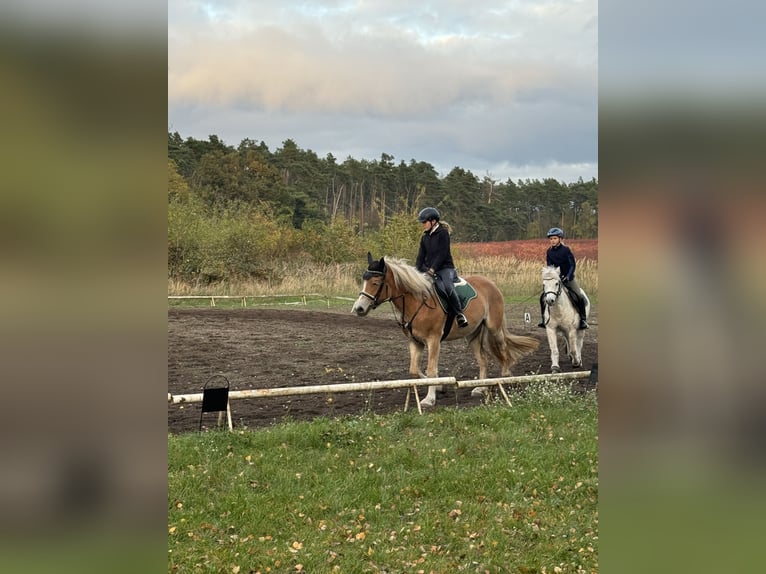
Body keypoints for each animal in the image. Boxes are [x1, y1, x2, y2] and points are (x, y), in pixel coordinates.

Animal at [352, 254, 540, 408]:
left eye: (376, 283)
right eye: (364, 281)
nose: (359, 309)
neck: (417, 302)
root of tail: (491, 283)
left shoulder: (433, 340)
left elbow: (431, 369)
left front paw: (429, 399)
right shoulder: (415, 342)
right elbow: (414, 370)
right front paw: (440, 386)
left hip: (494, 327)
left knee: (503, 348)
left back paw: (506, 377)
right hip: (472, 335)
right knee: (483, 359)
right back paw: (481, 388)